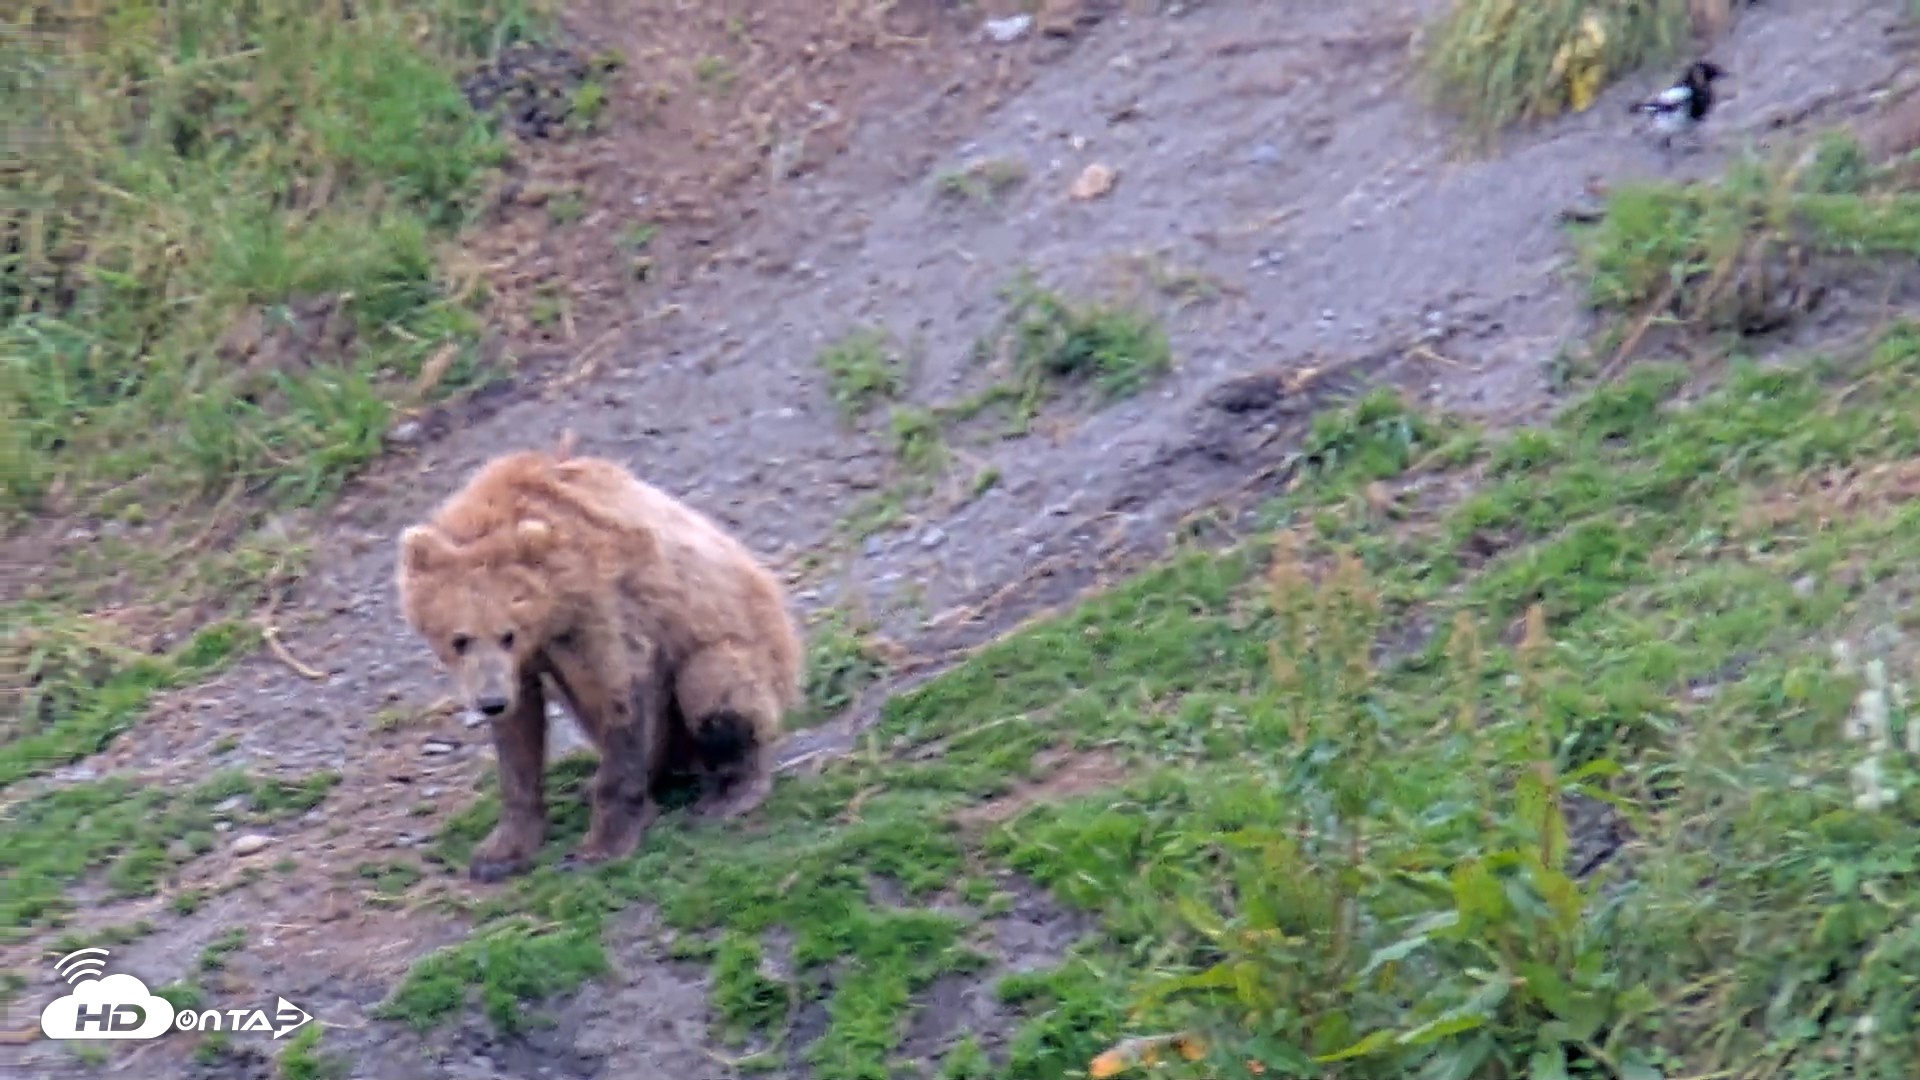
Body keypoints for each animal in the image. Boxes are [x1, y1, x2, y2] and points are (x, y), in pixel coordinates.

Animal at [394, 435, 804, 882]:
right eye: (460, 639)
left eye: (508, 634)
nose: (491, 702)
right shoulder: (525, 662)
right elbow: (519, 737)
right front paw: (500, 851)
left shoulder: (601, 610)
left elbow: (618, 693)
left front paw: (599, 846)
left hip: (739, 651)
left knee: (714, 686)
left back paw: (728, 793)